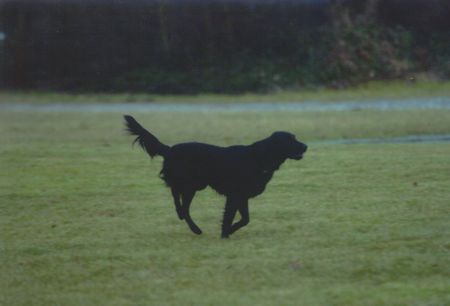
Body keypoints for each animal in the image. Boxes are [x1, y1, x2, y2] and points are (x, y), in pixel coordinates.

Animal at [124, 116, 306, 238]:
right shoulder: (234, 195)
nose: (306, 146)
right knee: (179, 201)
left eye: (295, 138)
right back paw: (193, 227)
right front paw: (225, 233)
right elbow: (230, 216)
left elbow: (245, 219)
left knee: (181, 203)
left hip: (194, 185)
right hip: (190, 184)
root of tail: (169, 149)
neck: (259, 157)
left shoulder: (242, 196)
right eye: (290, 140)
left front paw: (230, 230)